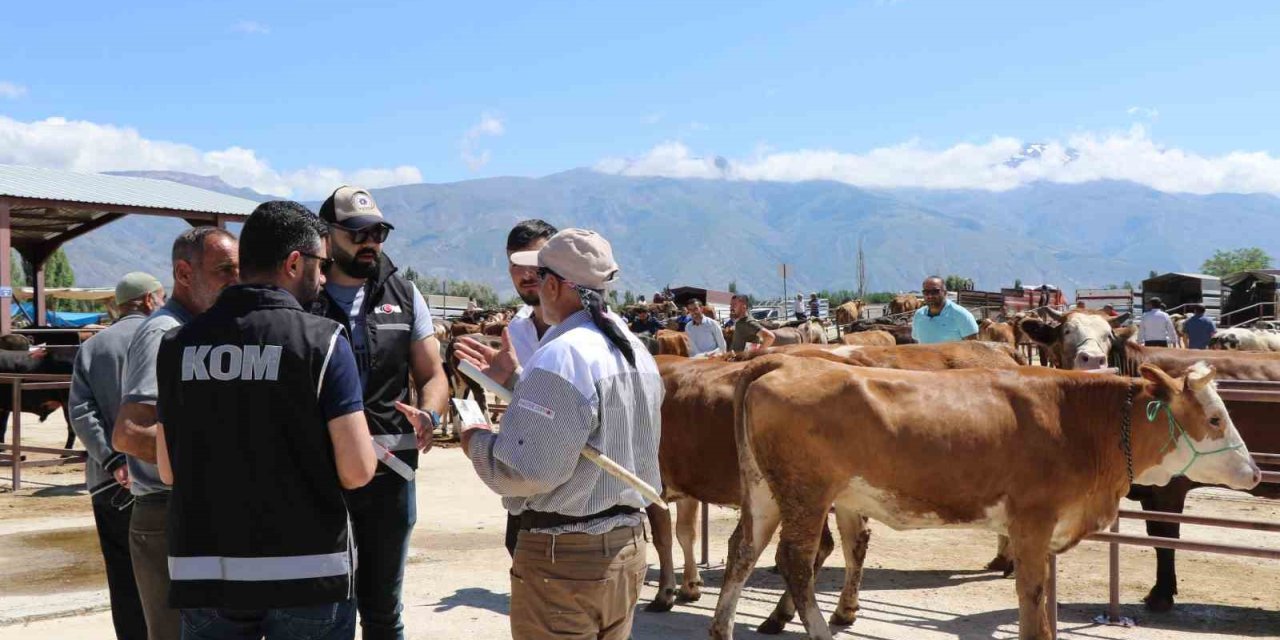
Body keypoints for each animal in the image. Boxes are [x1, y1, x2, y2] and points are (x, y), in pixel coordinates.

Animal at [650, 343, 1018, 616]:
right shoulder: (686, 484)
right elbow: (686, 533)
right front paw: (690, 586)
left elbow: (663, 539)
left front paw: (665, 593)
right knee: (847, 543)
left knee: (822, 548)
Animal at [711, 358, 1259, 637]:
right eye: (1215, 418)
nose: (1254, 472)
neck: (1078, 421)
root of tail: (776, 369)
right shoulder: (1032, 524)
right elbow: (1032, 601)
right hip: (805, 492)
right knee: (796, 561)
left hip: (765, 491)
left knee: (743, 550)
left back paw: (722, 628)